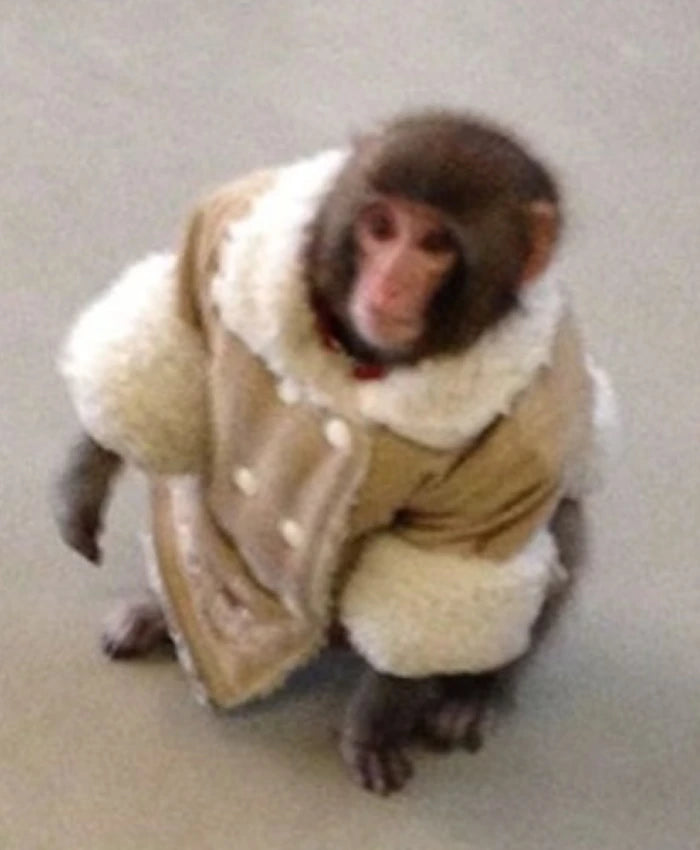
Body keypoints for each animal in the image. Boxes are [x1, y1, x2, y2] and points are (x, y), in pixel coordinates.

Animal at [54, 110, 615, 794]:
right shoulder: (223, 229)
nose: (388, 283)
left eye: (436, 244)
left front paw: (373, 726)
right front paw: (84, 477)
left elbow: (434, 581)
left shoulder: (522, 449)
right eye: (381, 227)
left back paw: (471, 692)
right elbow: (174, 333)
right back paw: (164, 612)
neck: (357, 358)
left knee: (556, 540)